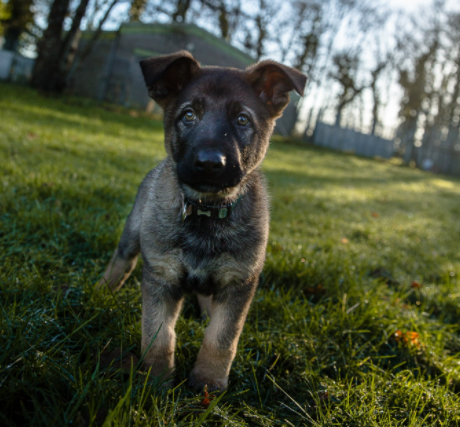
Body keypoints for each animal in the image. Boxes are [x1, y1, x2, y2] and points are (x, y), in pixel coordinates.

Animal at [98, 50, 306, 392]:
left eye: (242, 120)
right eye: (189, 115)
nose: (209, 163)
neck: (207, 211)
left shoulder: (238, 281)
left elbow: (222, 338)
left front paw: (208, 384)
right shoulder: (162, 276)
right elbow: (157, 334)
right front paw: (156, 382)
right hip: (132, 234)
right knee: (121, 262)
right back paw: (101, 290)